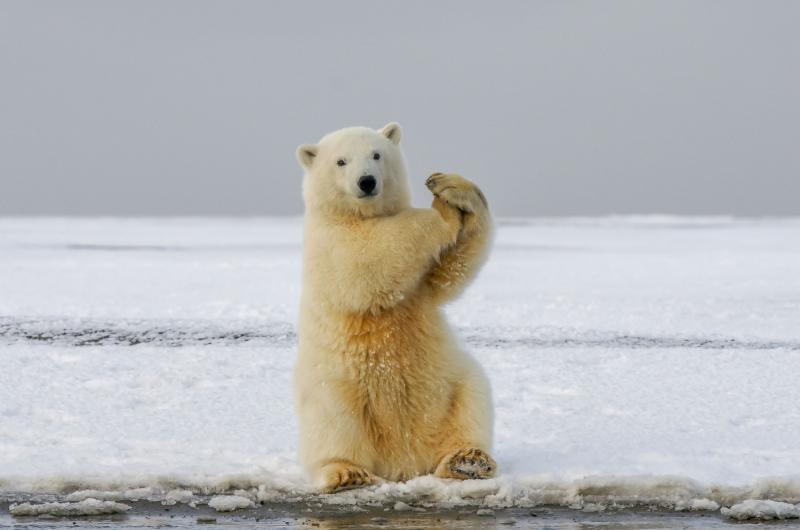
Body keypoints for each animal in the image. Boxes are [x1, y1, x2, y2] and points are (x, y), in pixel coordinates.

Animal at [294, 121, 494, 488]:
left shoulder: (422, 287)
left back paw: (467, 461)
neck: (359, 215)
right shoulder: (330, 242)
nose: (367, 182)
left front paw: (450, 187)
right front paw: (442, 214)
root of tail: (403, 462)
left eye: (376, 154)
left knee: (472, 399)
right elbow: (369, 258)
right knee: (334, 422)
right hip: (334, 386)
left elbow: (451, 271)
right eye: (341, 161)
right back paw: (347, 472)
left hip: (451, 383)